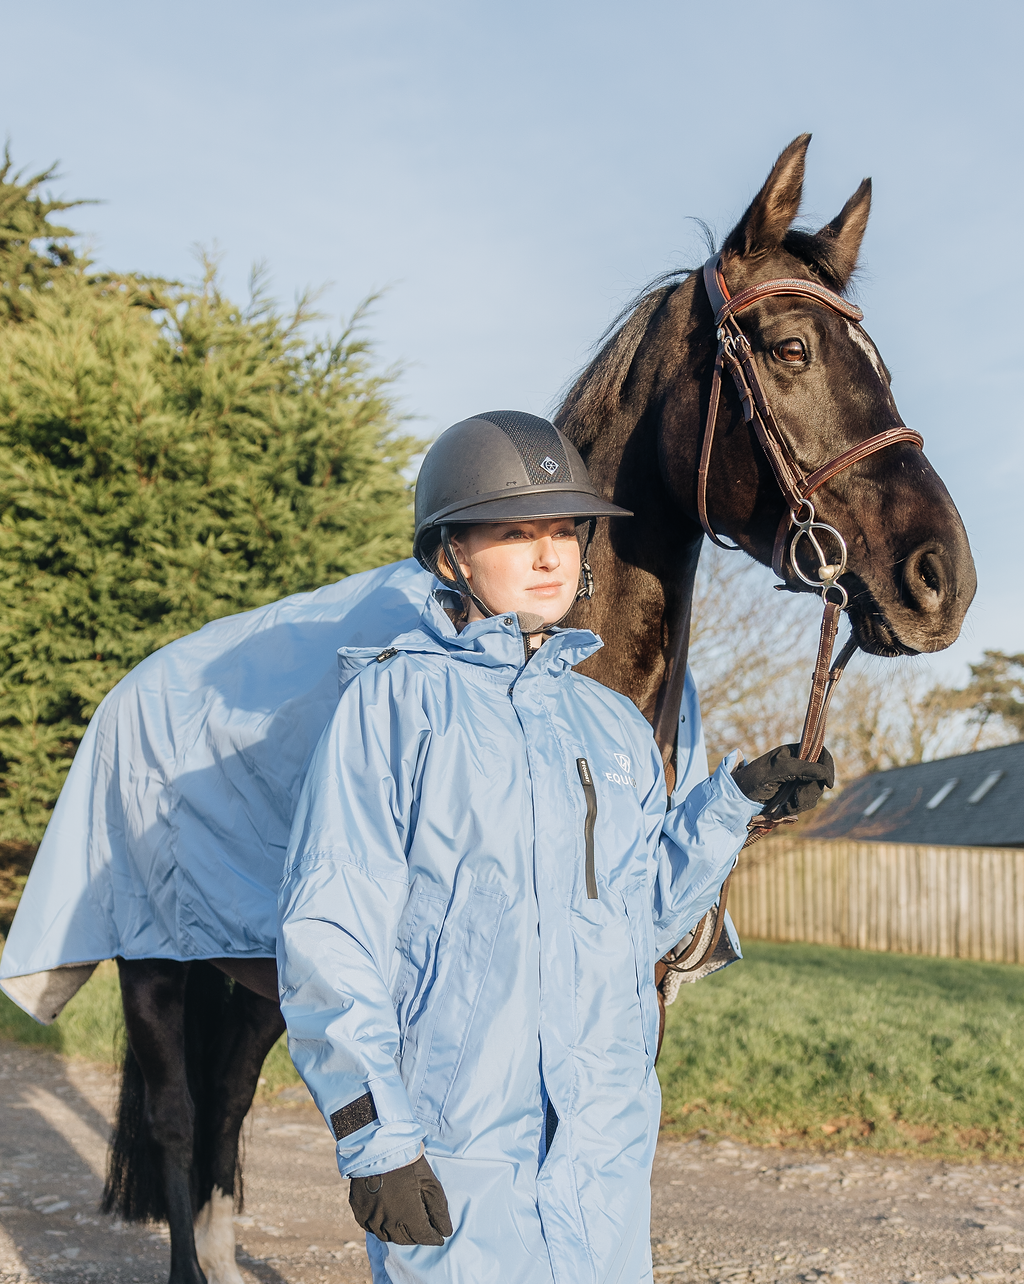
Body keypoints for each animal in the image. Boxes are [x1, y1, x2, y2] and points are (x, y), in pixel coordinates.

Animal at [28, 134, 978, 1284]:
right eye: (790, 347)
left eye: (877, 362)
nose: (942, 578)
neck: (549, 674)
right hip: (159, 971)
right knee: (177, 1124)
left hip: (250, 979)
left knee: (227, 1119)